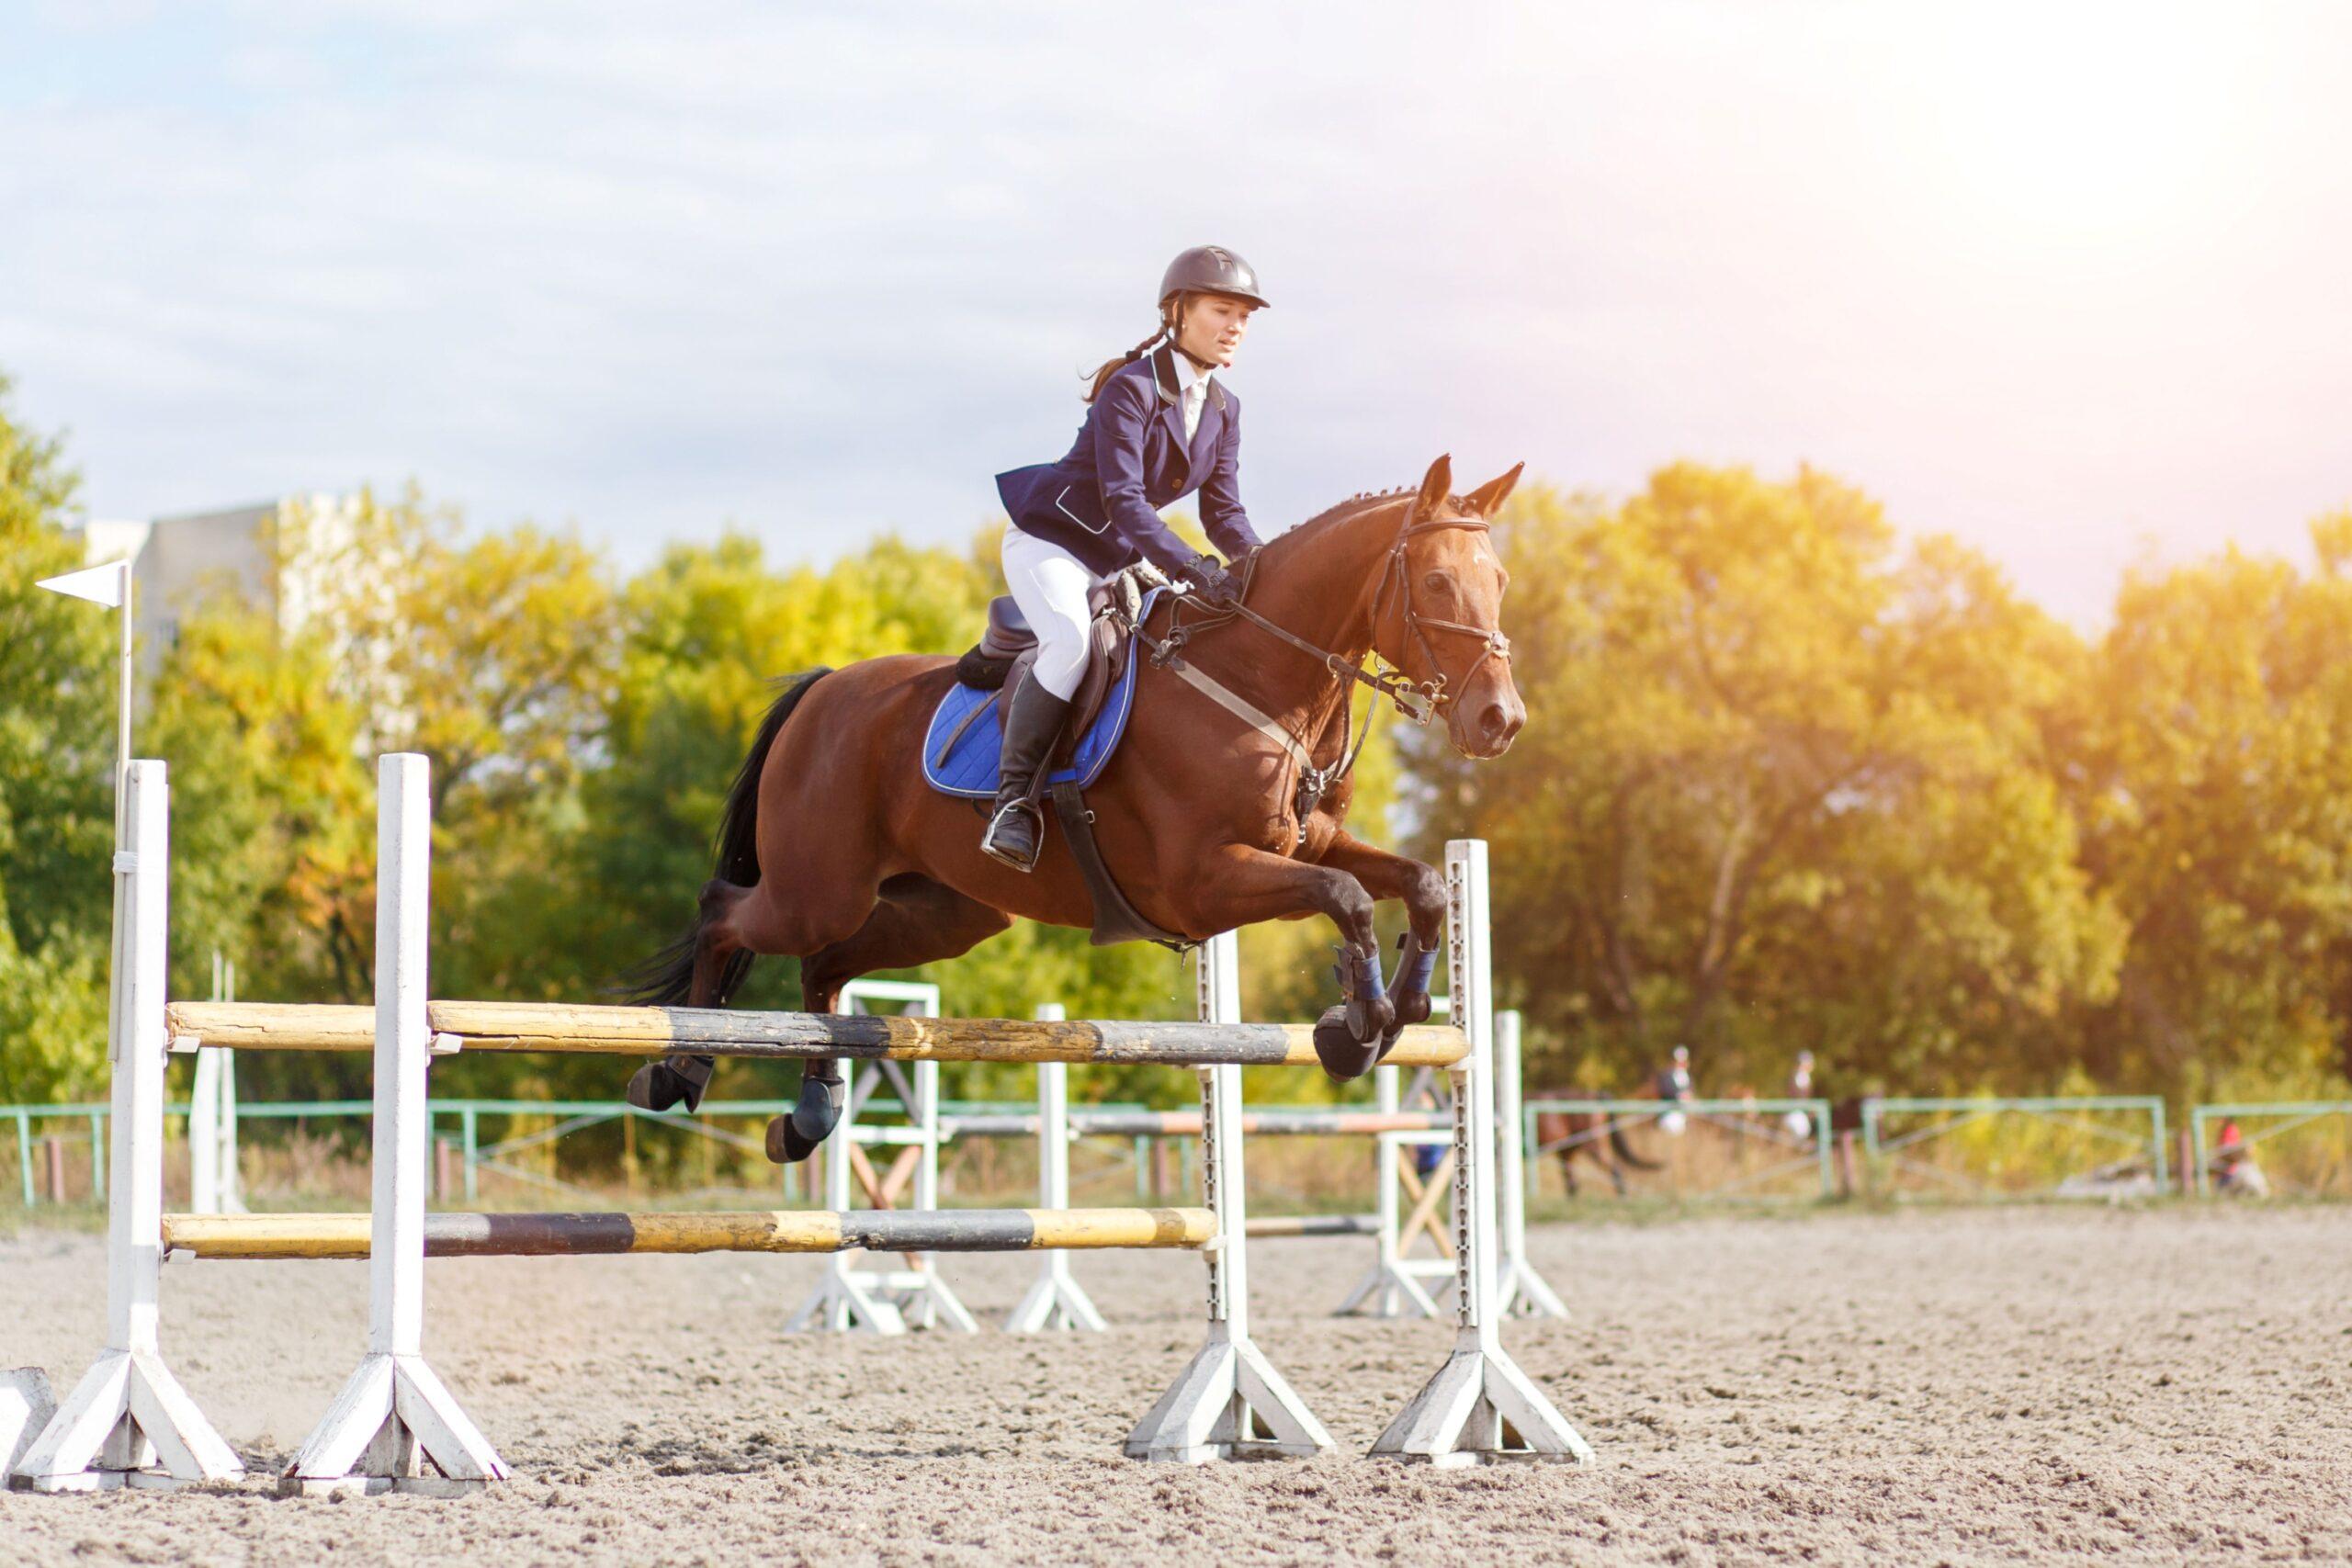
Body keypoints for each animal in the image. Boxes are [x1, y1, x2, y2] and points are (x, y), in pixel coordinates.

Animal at [622, 454, 1530, 1163]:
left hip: (946, 913)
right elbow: (1347, 899)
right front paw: (1359, 1023)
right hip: (818, 888)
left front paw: (1402, 1007)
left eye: (1500, 582)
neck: (1258, 678)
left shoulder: (1309, 842)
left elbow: (1422, 884)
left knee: (824, 967)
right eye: (1438, 580)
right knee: (725, 913)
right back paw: (675, 1069)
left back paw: (809, 1114)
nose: (1501, 720)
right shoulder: (1201, 884)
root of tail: (822, 689)